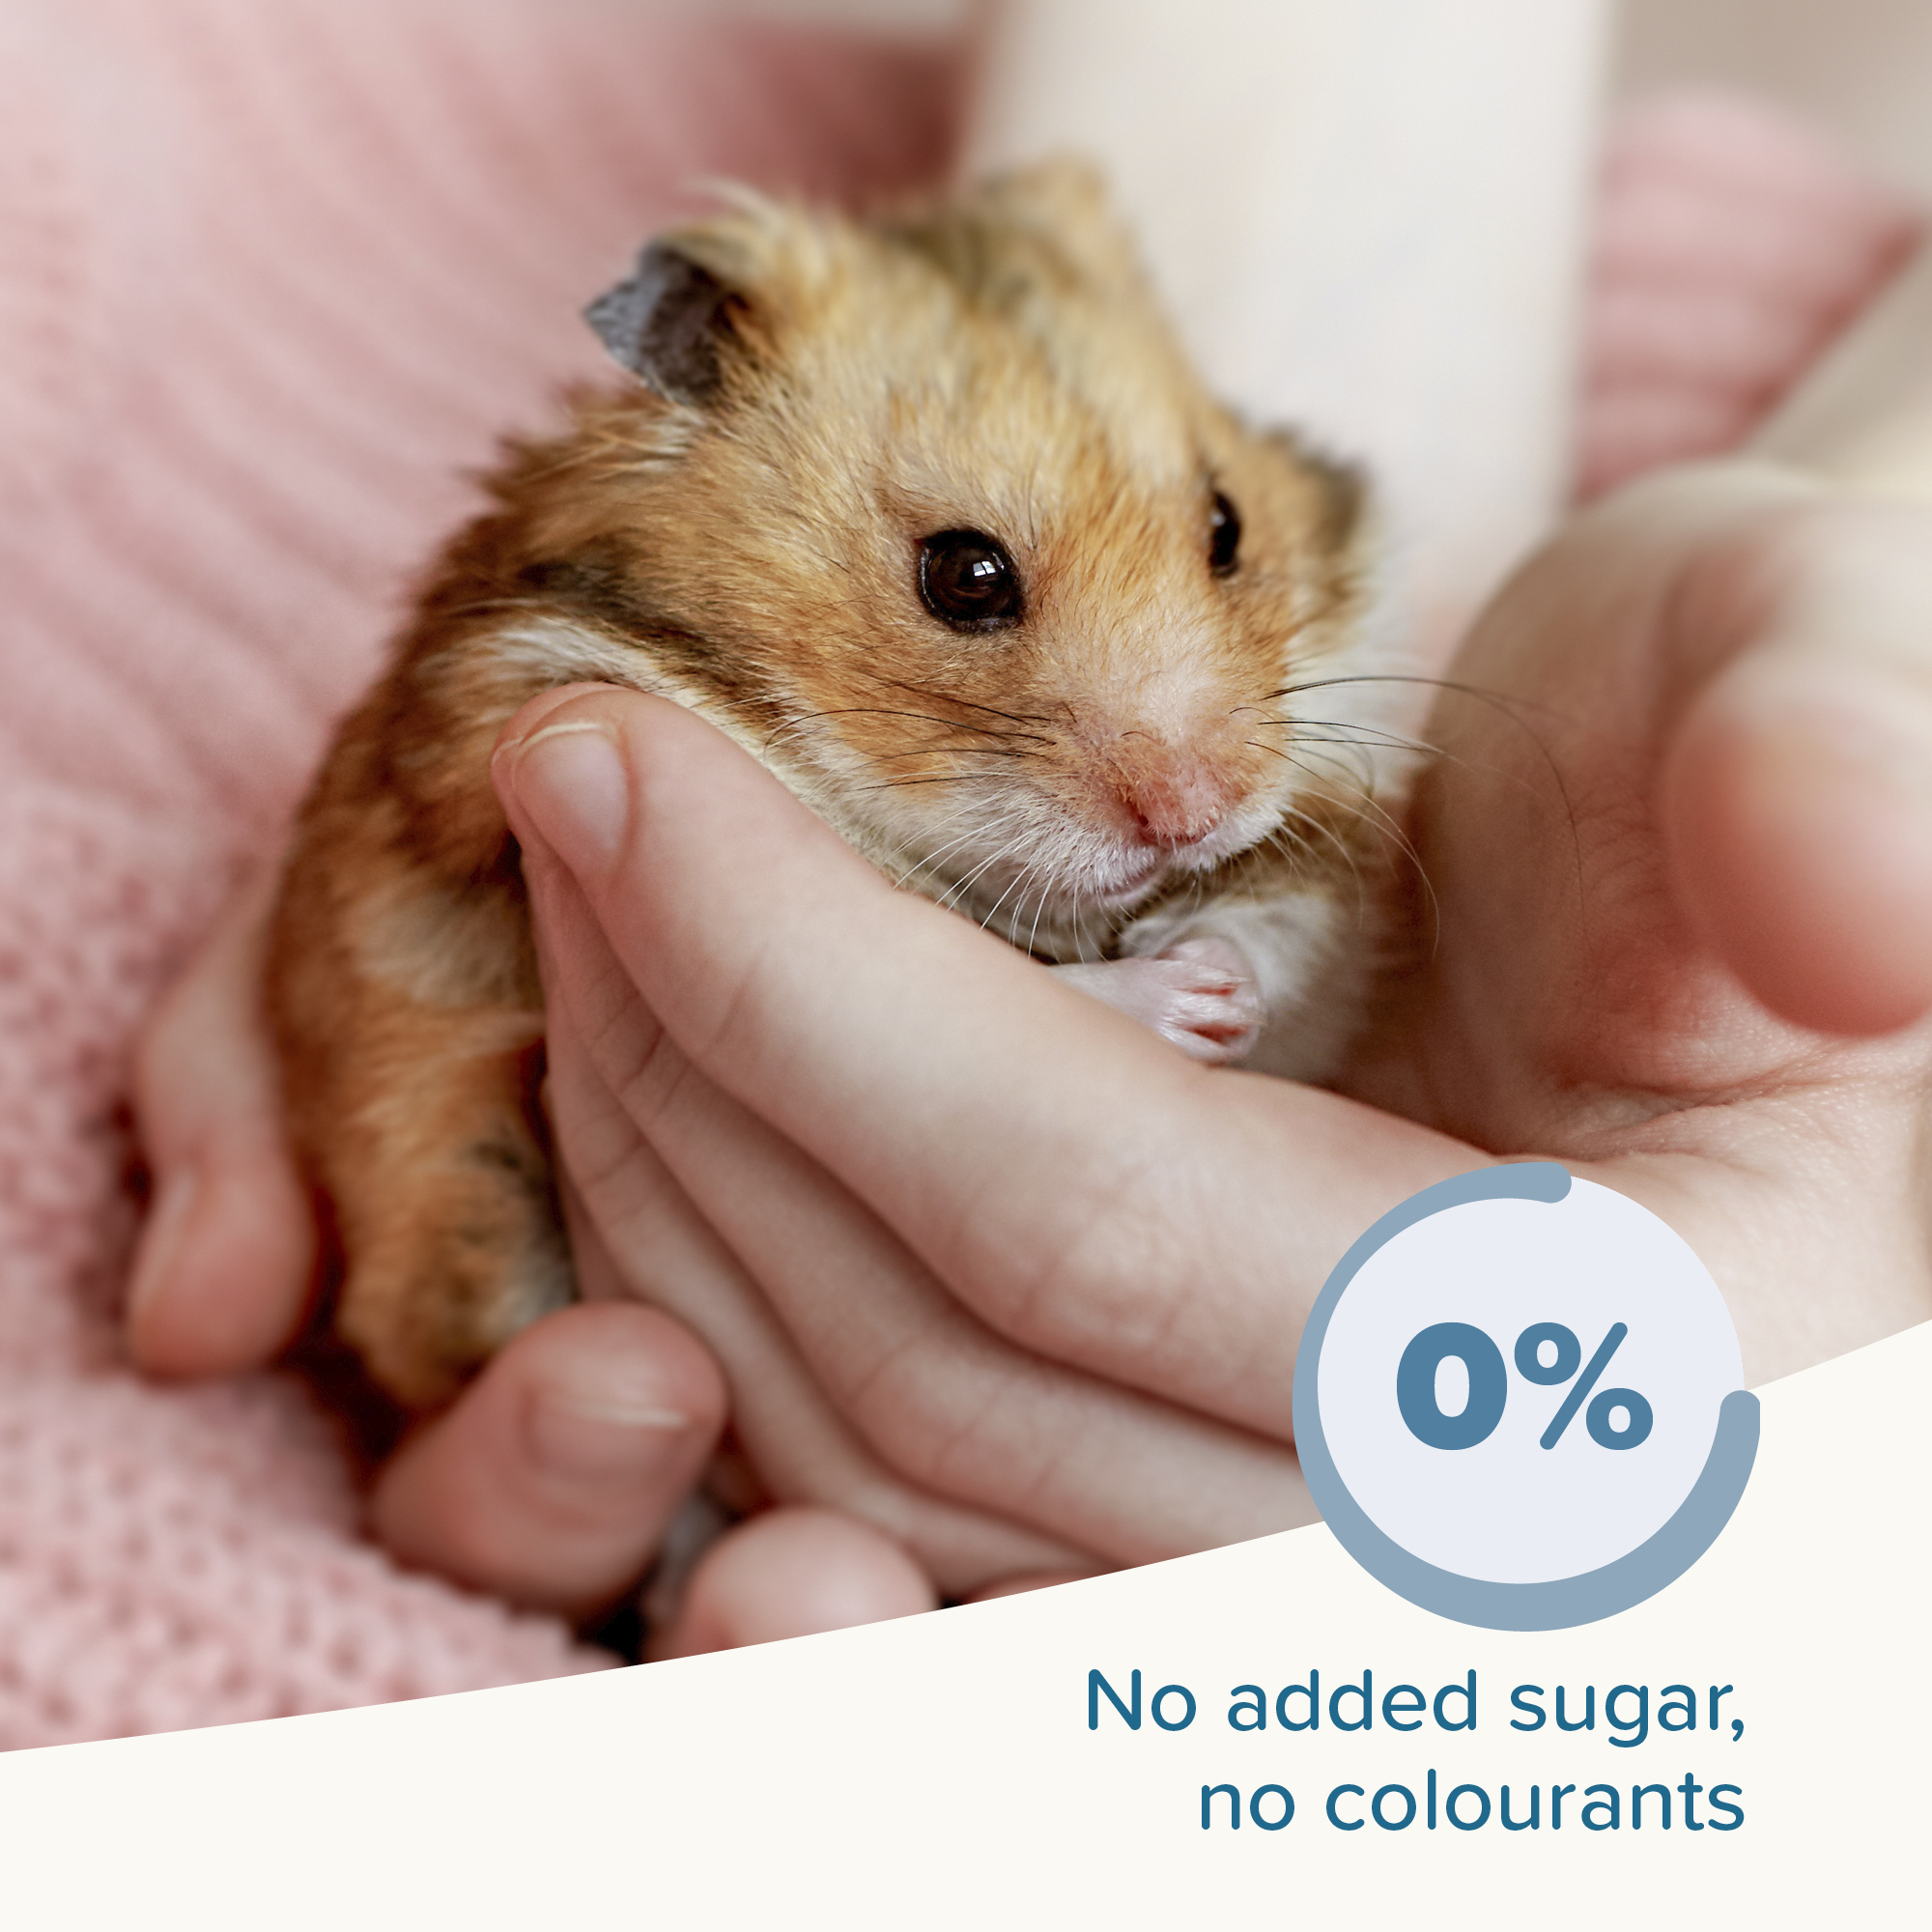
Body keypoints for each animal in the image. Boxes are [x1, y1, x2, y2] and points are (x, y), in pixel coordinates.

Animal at [267, 159, 1399, 1410]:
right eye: (965, 575)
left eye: (1225, 525)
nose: (1194, 817)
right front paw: (1190, 998)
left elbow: (1288, 921)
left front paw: (1217, 976)